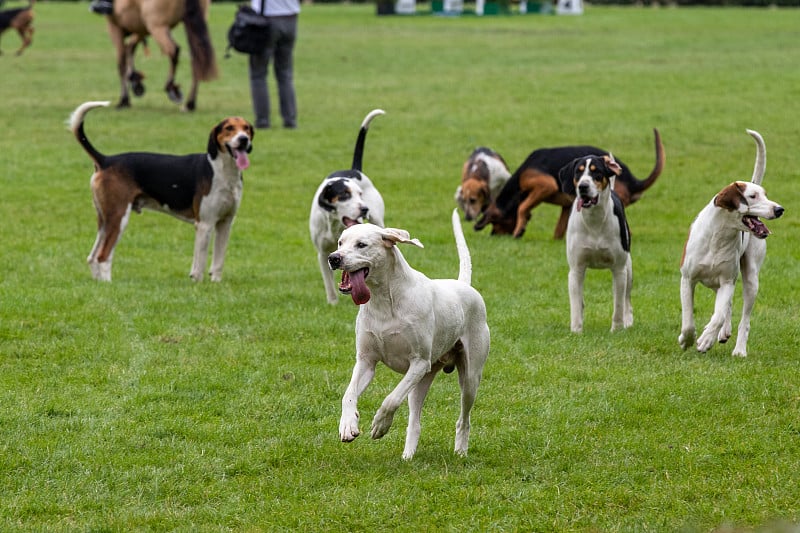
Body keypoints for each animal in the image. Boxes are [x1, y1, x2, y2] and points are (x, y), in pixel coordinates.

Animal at [324, 210, 488, 460]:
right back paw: (408, 456)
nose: (334, 258)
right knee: (415, 419)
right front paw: (348, 425)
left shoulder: (419, 363)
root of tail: (464, 285)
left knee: (464, 418)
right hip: (421, 382)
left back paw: (460, 451)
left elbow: (390, 399)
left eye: (361, 245)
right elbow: (348, 393)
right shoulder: (366, 361)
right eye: (340, 243)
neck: (384, 300)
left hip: (468, 377)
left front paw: (380, 425)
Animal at [680, 128, 784, 358]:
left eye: (765, 195)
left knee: (742, 317)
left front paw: (705, 340)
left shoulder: (728, 280)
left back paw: (738, 348)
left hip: (750, 279)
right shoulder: (687, 278)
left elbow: (718, 315)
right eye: (752, 196)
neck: (718, 237)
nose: (779, 209)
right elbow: (689, 320)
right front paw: (687, 339)